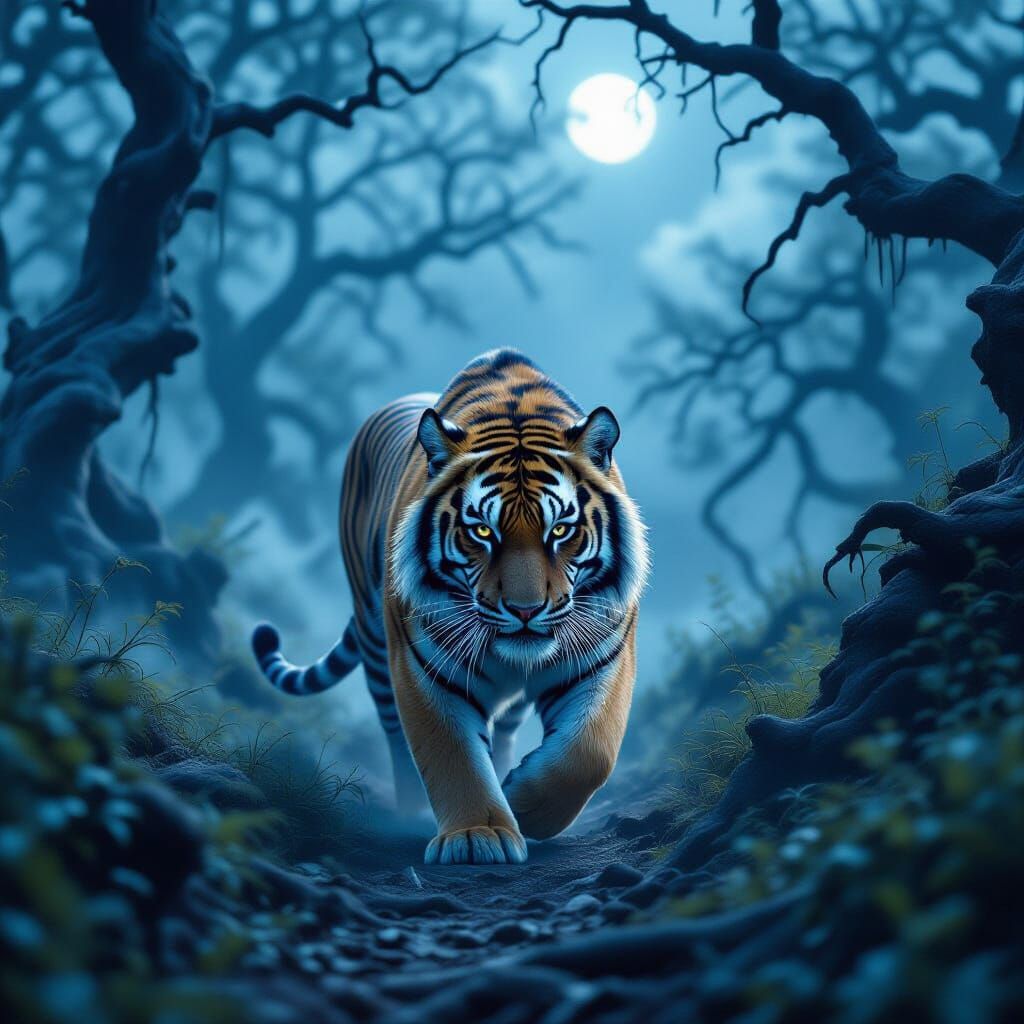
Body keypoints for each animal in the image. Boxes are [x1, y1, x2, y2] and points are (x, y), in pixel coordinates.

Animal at [252, 349, 649, 865]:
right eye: (482, 531)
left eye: (560, 530)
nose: (525, 610)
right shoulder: (424, 666)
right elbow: (450, 754)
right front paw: (478, 836)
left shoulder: (604, 656)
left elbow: (590, 752)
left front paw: (524, 805)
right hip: (376, 644)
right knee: (396, 739)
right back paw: (409, 813)